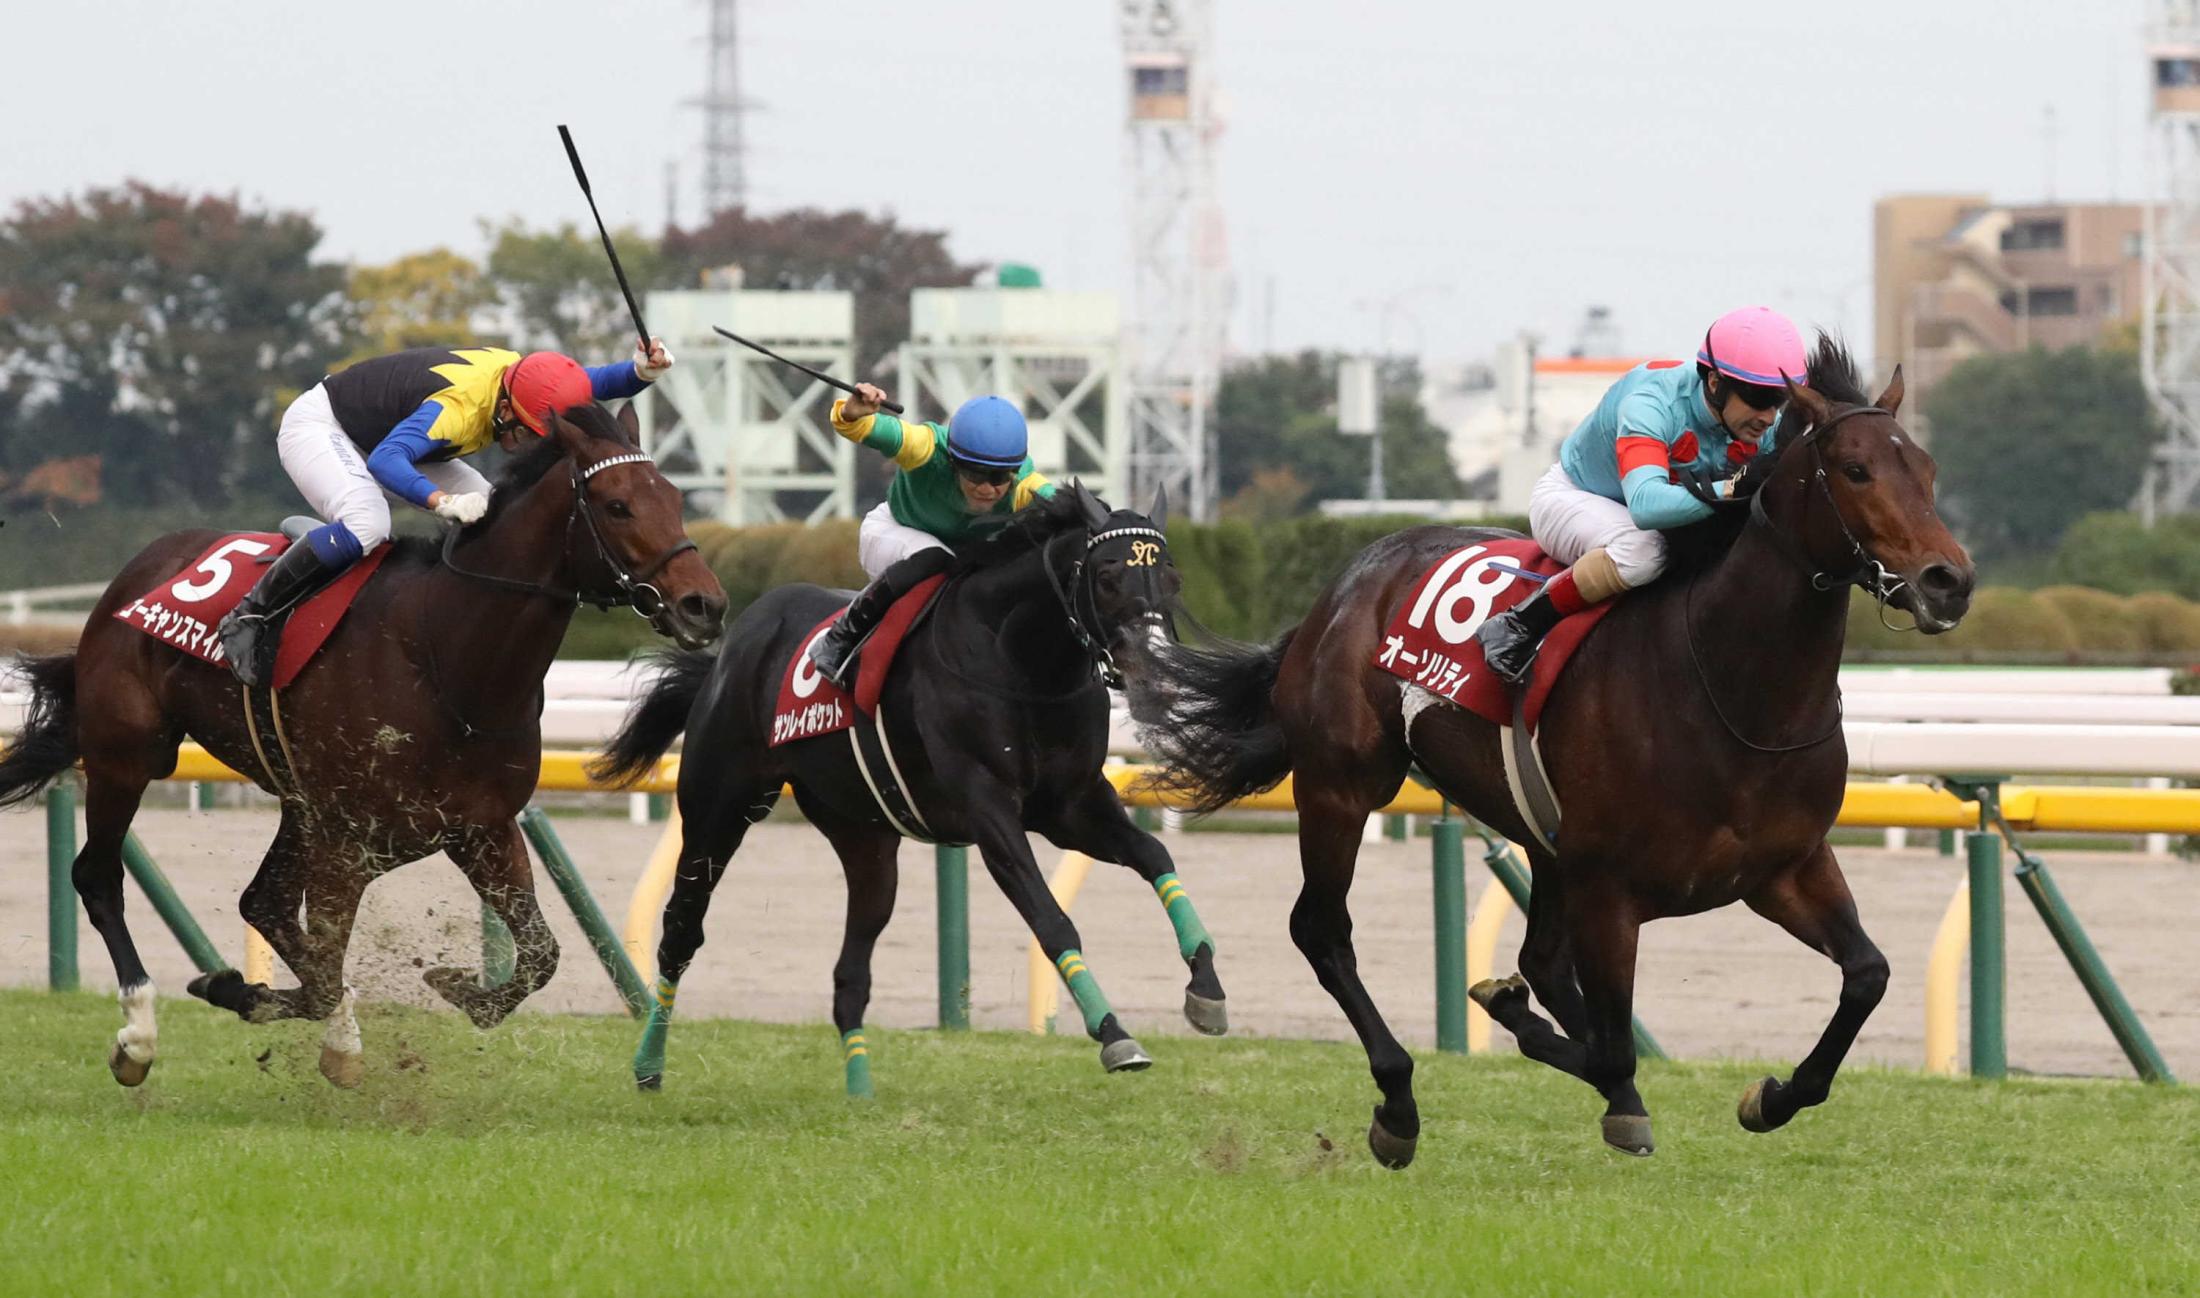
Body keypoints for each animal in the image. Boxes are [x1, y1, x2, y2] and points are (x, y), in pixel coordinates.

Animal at [594, 484, 1232, 1095]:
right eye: (1106, 577)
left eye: (1171, 578)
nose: (1154, 671)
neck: (1020, 660)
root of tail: (730, 651)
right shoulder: (989, 811)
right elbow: (1052, 919)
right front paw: (1114, 1034)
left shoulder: (1069, 804)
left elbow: (1154, 854)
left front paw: (1206, 989)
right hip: (718, 805)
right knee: (682, 929)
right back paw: (648, 1065)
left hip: (865, 839)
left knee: (851, 972)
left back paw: (860, 1092)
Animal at [1135, 338, 1980, 1170]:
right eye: (1856, 470)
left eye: (1929, 468)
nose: (1950, 580)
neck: (1733, 691)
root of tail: (1344, 583)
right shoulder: (1609, 888)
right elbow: (1609, 1047)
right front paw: (1527, 1028)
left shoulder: (1786, 867)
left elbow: (1867, 976)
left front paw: (1769, 1097)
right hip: (1342, 786)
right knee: (1322, 930)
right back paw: (1399, 1102)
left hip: (1542, 839)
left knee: (1539, 960)